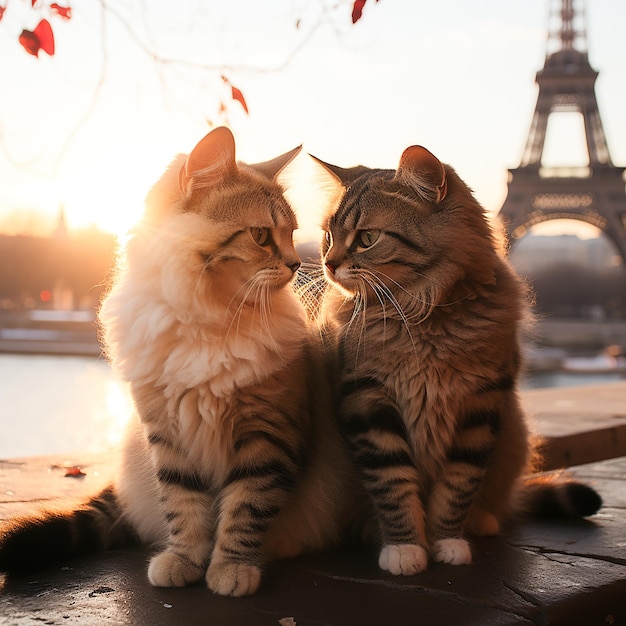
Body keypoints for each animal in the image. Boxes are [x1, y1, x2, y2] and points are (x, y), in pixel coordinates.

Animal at [0, 125, 358, 596]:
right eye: (262, 236)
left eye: (292, 233)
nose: (297, 263)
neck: (205, 317)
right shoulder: (168, 434)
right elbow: (184, 509)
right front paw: (185, 561)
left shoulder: (266, 434)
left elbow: (244, 511)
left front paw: (229, 569)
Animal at [312, 144, 600, 572]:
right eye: (328, 237)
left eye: (367, 238)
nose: (329, 264)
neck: (422, 315)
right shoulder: (368, 399)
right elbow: (393, 482)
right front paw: (405, 547)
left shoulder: (481, 405)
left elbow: (458, 484)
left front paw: (447, 541)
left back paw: (480, 521)